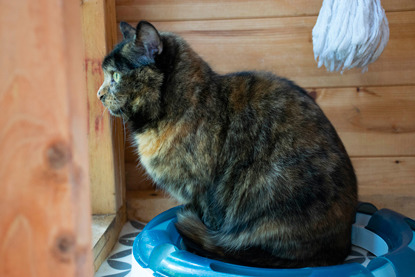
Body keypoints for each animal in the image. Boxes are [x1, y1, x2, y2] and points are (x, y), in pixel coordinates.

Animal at [99, 21, 360, 268]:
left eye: (116, 76)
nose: (99, 94)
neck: (183, 105)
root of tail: (342, 247)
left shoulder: (203, 191)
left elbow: (207, 218)